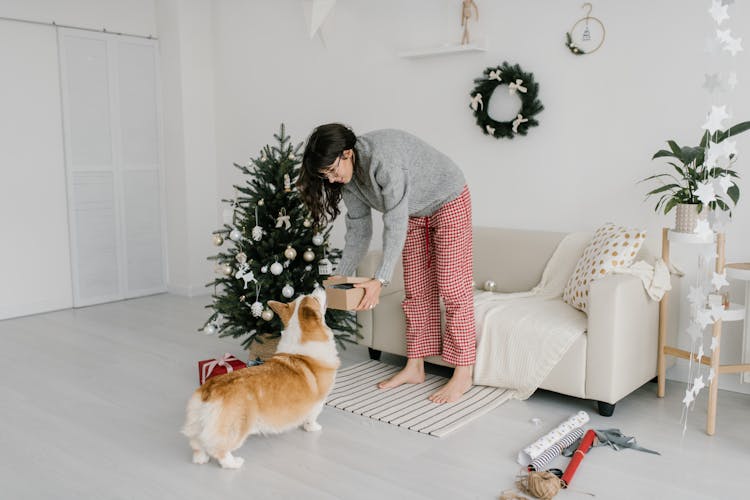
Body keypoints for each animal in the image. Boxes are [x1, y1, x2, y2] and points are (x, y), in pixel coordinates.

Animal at [184, 290, 342, 468]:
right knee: (220, 450)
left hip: (198, 424)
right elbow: (312, 417)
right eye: (315, 298)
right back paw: (234, 463)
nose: (319, 287)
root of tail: (210, 390)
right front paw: (313, 427)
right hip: (237, 428)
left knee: (197, 444)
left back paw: (201, 459)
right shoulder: (318, 402)